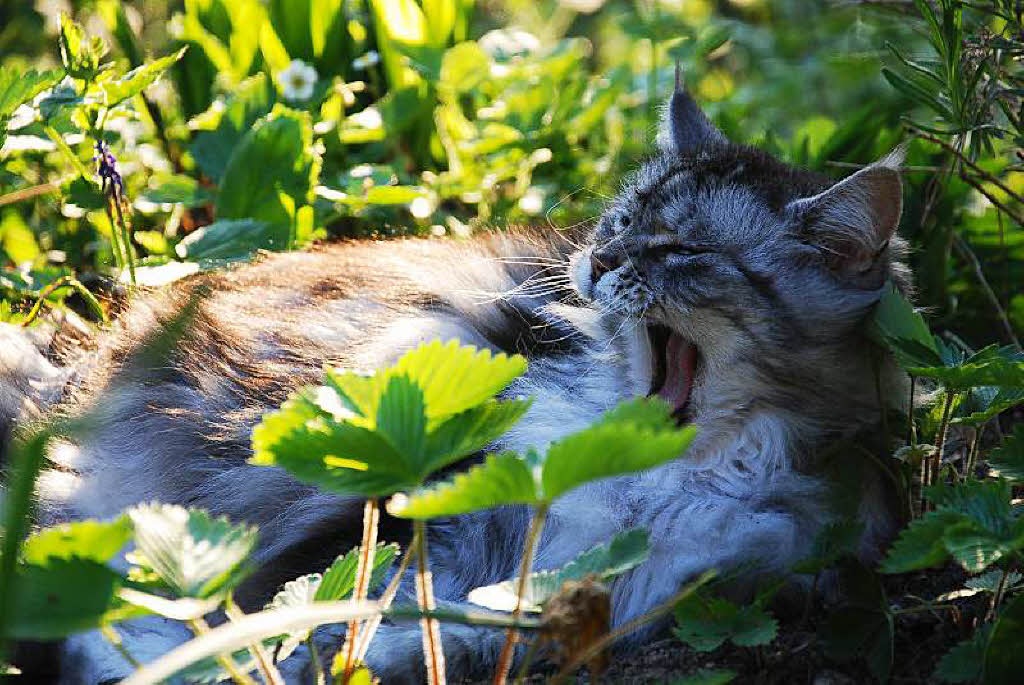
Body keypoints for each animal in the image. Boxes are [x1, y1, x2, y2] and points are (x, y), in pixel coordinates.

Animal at [2, 81, 913, 683]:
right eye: (621, 223)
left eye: (680, 250)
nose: (597, 261)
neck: (676, 480)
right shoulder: (433, 509)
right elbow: (313, 602)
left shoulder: (650, 579)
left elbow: (429, 630)